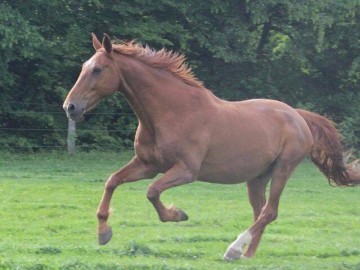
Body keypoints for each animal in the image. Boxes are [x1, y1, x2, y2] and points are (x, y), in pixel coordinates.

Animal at [63, 33, 358, 260]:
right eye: (84, 66)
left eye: (97, 70)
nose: (70, 107)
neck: (172, 112)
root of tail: (298, 116)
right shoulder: (147, 165)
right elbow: (112, 181)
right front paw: (103, 233)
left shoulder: (186, 170)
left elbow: (152, 192)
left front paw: (177, 214)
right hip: (257, 178)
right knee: (260, 211)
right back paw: (247, 255)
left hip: (283, 170)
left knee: (269, 212)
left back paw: (233, 250)